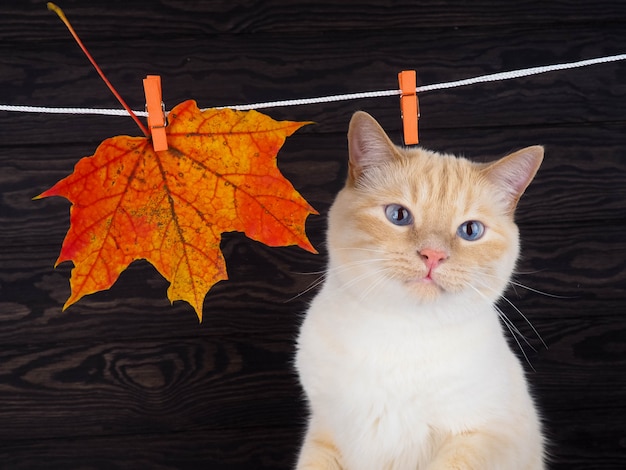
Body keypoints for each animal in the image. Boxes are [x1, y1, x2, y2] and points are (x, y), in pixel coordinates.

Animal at [292, 111, 540, 470]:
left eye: (470, 231)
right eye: (398, 215)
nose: (433, 255)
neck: (404, 329)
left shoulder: (484, 436)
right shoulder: (325, 433)